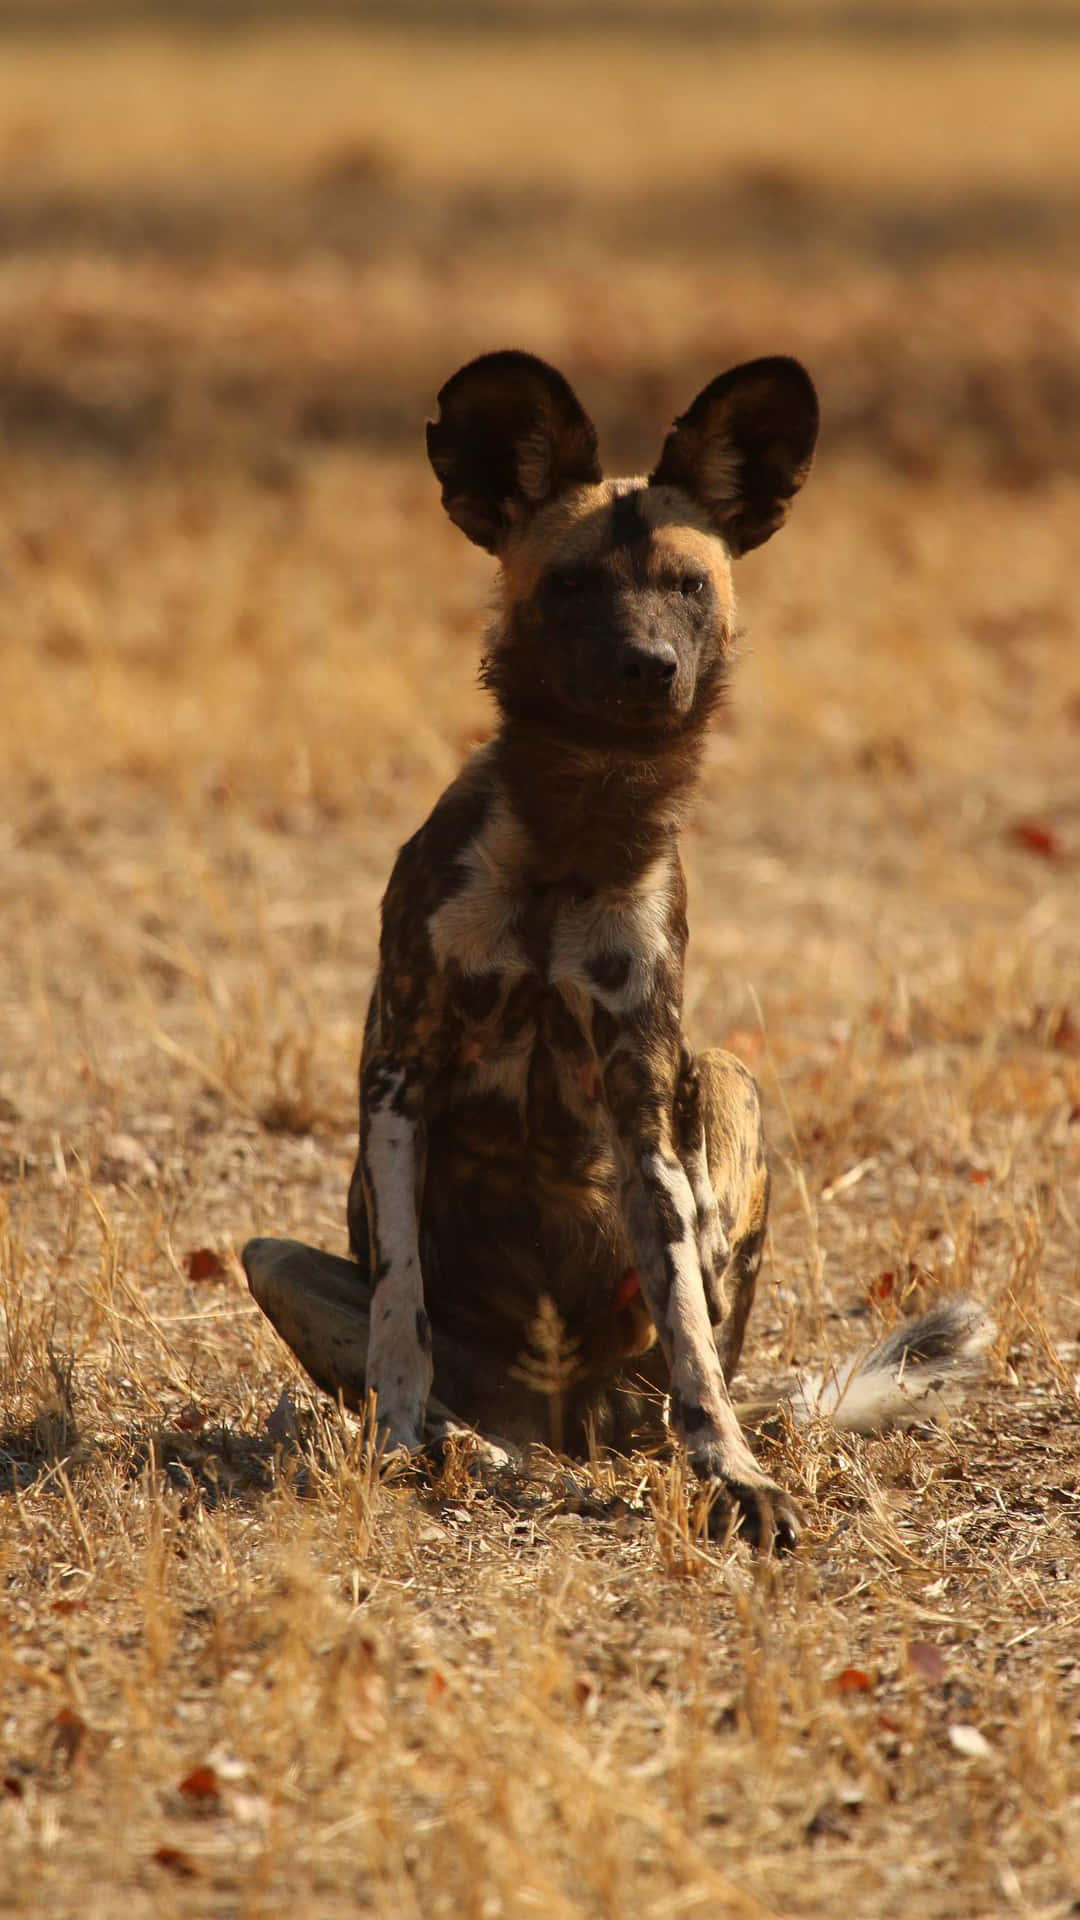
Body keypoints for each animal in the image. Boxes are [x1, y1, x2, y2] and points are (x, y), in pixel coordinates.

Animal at [244, 349, 983, 1543]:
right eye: (573, 585)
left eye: (688, 587)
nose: (647, 666)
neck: (578, 827)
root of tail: (565, 1423)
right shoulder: (399, 1071)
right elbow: (402, 1299)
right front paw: (398, 1440)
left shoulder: (644, 1101)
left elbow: (688, 1329)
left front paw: (734, 1476)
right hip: (277, 1261)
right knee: (445, 1387)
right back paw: (465, 1446)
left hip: (722, 1081)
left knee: (696, 1357)